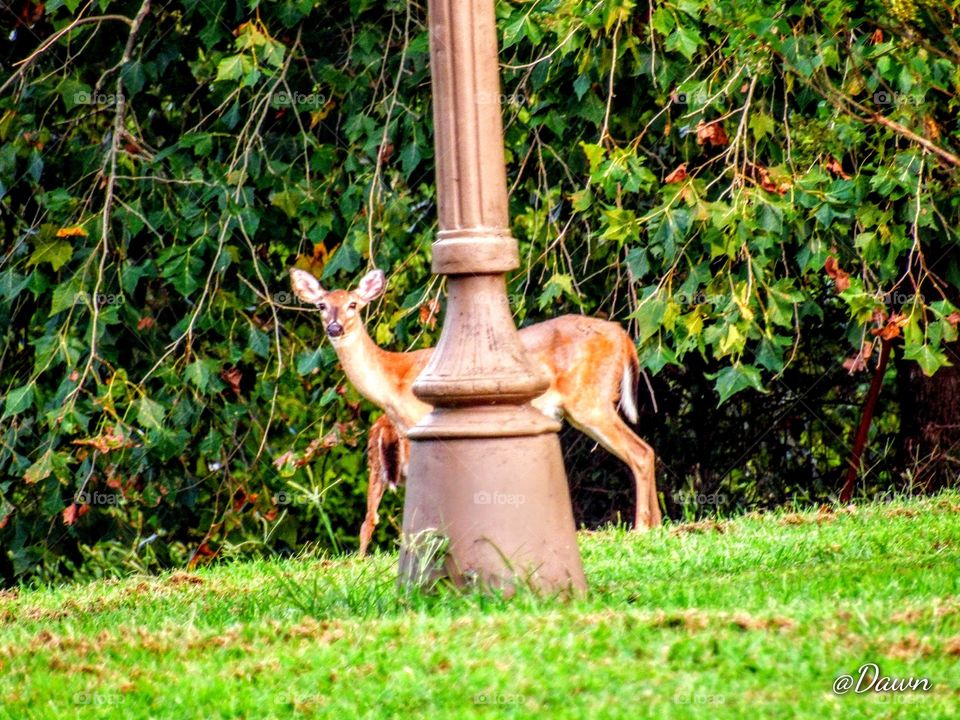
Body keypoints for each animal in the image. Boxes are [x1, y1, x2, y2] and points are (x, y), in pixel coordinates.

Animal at [289, 267, 661, 554]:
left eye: (353, 304)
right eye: (322, 305)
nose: (334, 328)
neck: (393, 381)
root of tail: (623, 336)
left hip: (590, 400)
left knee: (640, 451)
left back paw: (641, 528)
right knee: (646, 451)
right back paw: (656, 526)